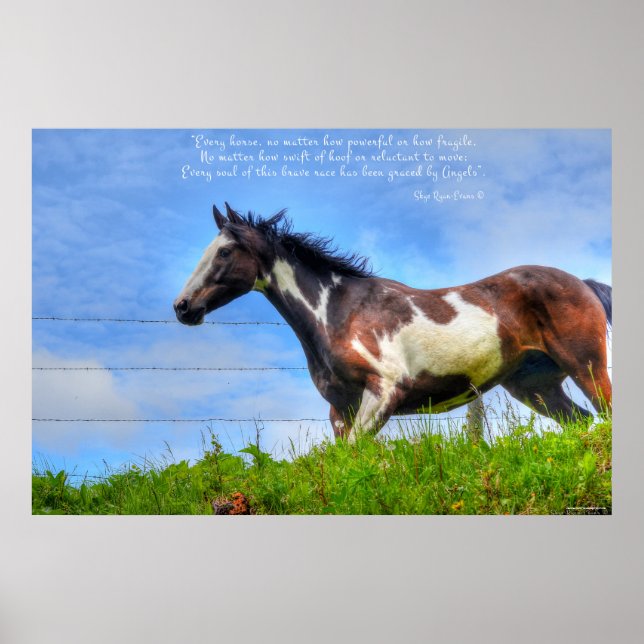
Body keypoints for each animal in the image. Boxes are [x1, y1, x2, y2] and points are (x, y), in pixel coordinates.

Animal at [173, 203, 612, 441]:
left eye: (224, 252)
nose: (182, 307)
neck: (337, 311)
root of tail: (583, 282)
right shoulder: (341, 410)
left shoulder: (384, 392)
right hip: (536, 386)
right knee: (581, 423)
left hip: (587, 366)